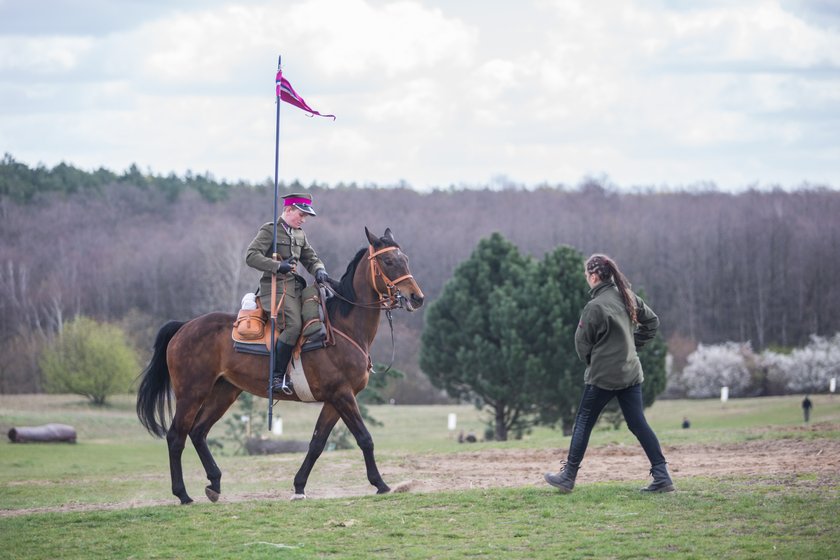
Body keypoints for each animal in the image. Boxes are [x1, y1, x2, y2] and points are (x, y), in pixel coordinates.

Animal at [139, 228, 426, 504]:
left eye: (405, 258)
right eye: (388, 261)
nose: (416, 297)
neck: (343, 327)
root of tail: (184, 327)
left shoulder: (335, 400)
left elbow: (317, 443)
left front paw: (299, 486)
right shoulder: (343, 396)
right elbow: (364, 438)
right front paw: (380, 484)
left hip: (224, 391)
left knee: (198, 432)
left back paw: (215, 484)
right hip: (191, 393)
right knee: (176, 436)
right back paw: (183, 494)